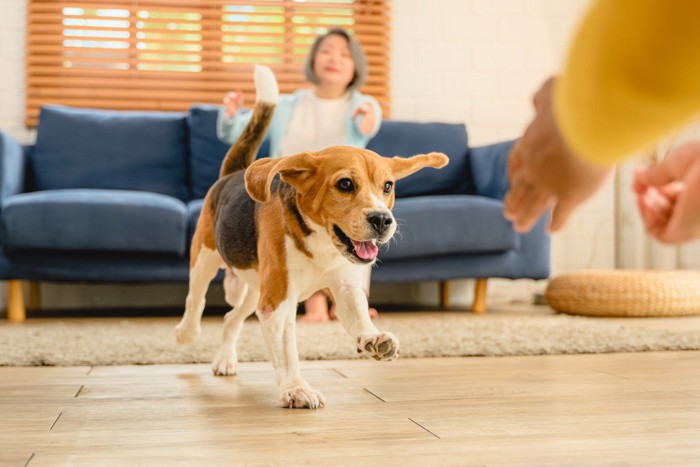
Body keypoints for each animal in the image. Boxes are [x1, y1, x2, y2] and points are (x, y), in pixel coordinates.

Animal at [176, 66, 448, 410]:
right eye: (345, 184)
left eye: (387, 186)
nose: (382, 220)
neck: (323, 245)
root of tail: (231, 174)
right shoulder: (278, 301)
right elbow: (286, 351)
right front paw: (295, 388)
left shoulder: (343, 286)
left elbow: (358, 314)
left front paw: (372, 338)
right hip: (206, 258)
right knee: (195, 299)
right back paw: (186, 333)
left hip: (255, 288)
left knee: (230, 318)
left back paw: (225, 359)